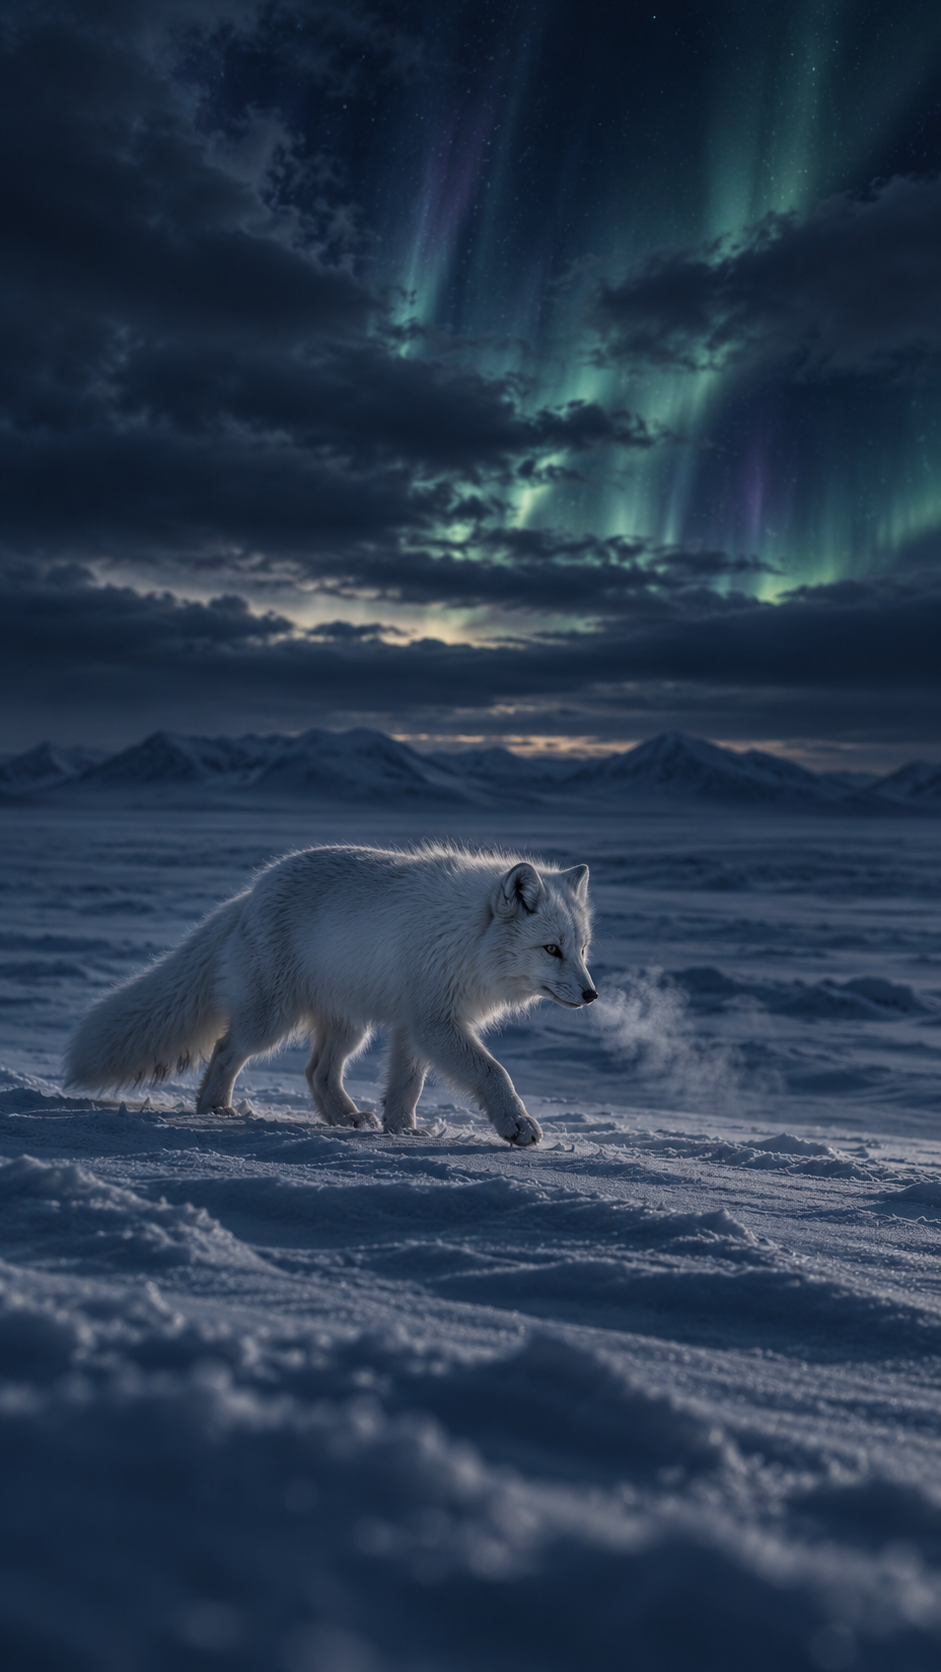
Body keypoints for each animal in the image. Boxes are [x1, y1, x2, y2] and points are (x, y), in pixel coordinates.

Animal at [64, 844, 597, 1147]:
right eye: (551, 949)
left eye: (581, 948)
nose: (592, 994)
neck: (468, 935)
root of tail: (249, 894)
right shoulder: (434, 1022)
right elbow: (493, 1072)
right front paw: (518, 1125)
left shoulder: (413, 1026)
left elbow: (406, 1086)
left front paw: (402, 1129)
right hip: (271, 1020)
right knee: (225, 1049)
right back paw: (215, 1108)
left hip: (350, 1026)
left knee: (317, 1072)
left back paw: (347, 1118)